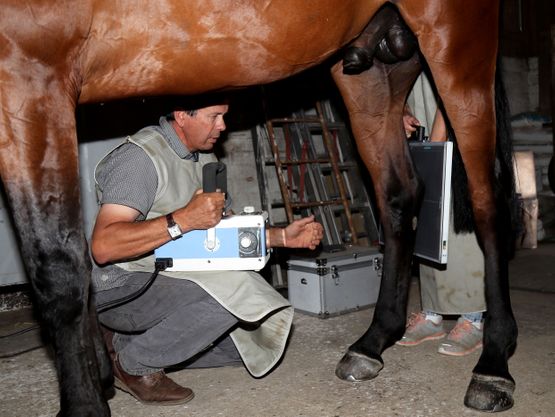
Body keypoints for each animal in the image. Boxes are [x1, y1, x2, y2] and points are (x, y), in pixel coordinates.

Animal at [2, 0, 520, 416]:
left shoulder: (33, 77)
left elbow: (58, 269)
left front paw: (85, 403)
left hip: (455, 42)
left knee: (487, 198)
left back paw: (493, 364)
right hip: (374, 71)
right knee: (398, 195)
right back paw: (373, 342)